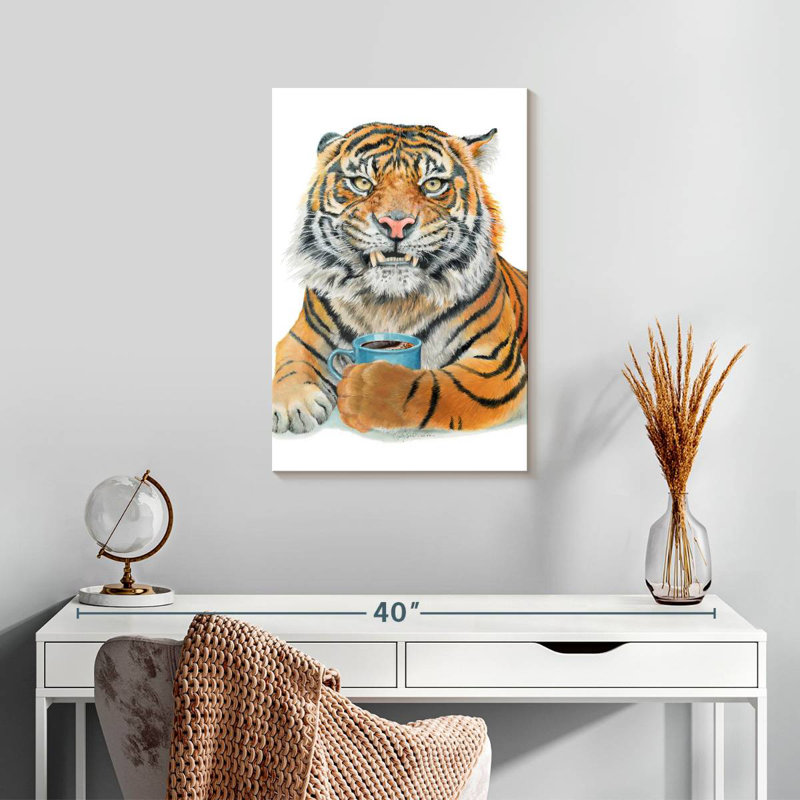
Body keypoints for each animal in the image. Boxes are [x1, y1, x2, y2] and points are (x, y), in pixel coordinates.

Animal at [272, 122, 528, 434]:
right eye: (362, 183)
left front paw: (365, 390)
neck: (389, 303)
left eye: (433, 184)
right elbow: (291, 361)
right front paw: (292, 406)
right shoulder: (302, 335)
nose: (395, 224)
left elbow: (430, 388)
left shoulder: (496, 365)